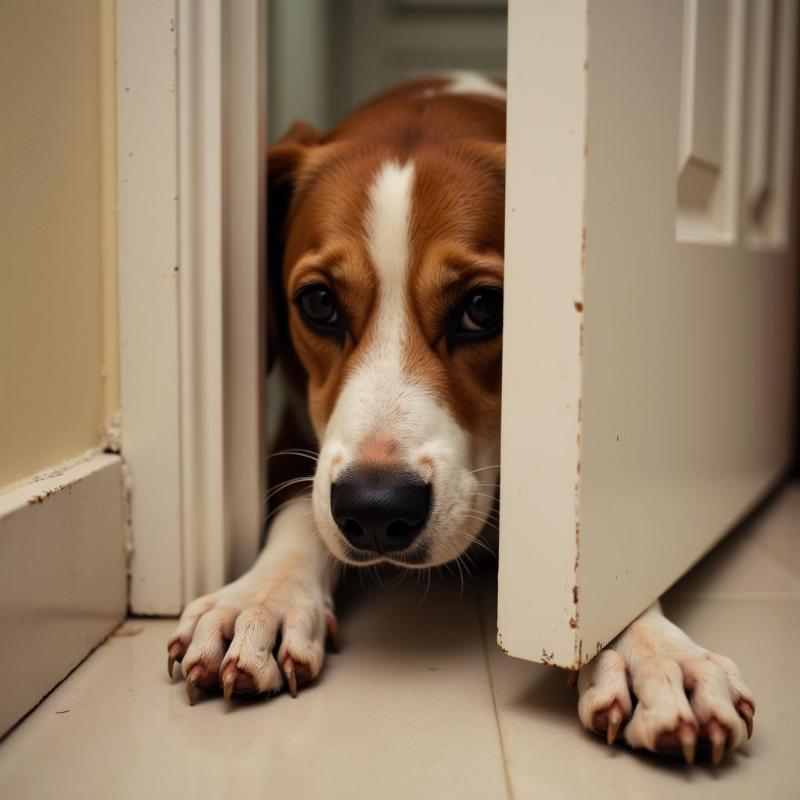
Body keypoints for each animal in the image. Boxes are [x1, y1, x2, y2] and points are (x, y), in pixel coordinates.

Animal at [166, 73, 752, 764]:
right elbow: (297, 511)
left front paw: (652, 650)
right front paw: (259, 598)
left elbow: (593, 569)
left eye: (483, 307)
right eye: (318, 303)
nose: (374, 509)